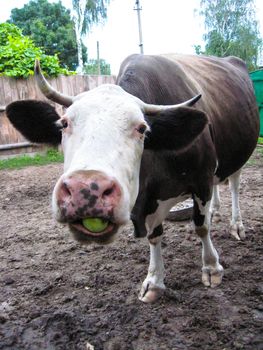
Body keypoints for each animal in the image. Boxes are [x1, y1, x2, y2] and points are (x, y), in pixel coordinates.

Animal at [6, 54, 260, 304]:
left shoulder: (201, 180)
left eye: (142, 128)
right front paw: (155, 281)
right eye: (64, 123)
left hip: (238, 156)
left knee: (234, 185)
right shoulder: (151, 200)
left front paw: (211, 267)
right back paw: (215, 210)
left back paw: (236, 225)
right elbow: (154, 235)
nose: (86, 191)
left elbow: (201, 227)